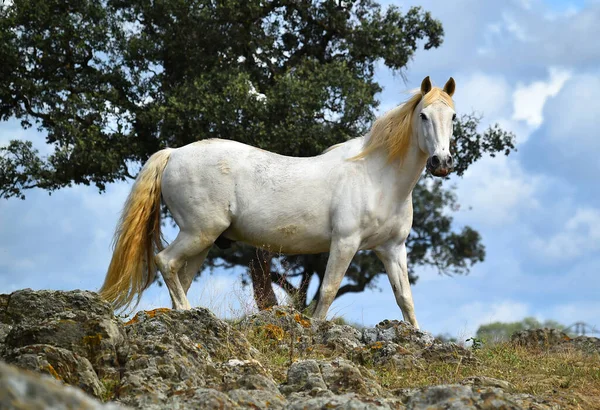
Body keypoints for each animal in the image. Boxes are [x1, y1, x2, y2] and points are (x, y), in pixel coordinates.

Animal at [99, 75, 454, 328]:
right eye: (423, 116)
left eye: (452, 116)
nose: (441, 162)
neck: (378, 177)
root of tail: (173, 153)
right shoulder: (345, 243)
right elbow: (328, 291)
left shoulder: (392, 248)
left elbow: (405, 297)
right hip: (199, 233)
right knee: (165, 262)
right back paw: (188, 313)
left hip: (202, 241)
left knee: (178, 276)